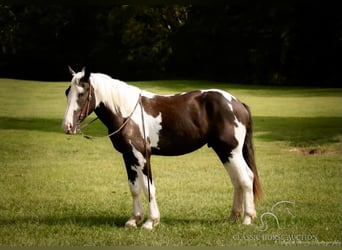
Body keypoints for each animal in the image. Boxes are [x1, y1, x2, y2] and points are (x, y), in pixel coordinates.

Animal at [62, 67, 264, 230]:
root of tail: (237, 103)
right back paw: (233, 217)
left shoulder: (142, 157)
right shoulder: (128, 157)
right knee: (237, 180)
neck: (127, 113)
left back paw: (247, 219)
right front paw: (134, 220)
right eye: (67, 92)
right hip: (224, 152)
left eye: (82, 93)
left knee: (246, 178)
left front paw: (151, 222)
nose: (67, 126)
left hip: (231, 151)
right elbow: (134, 188)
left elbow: (149, 188)